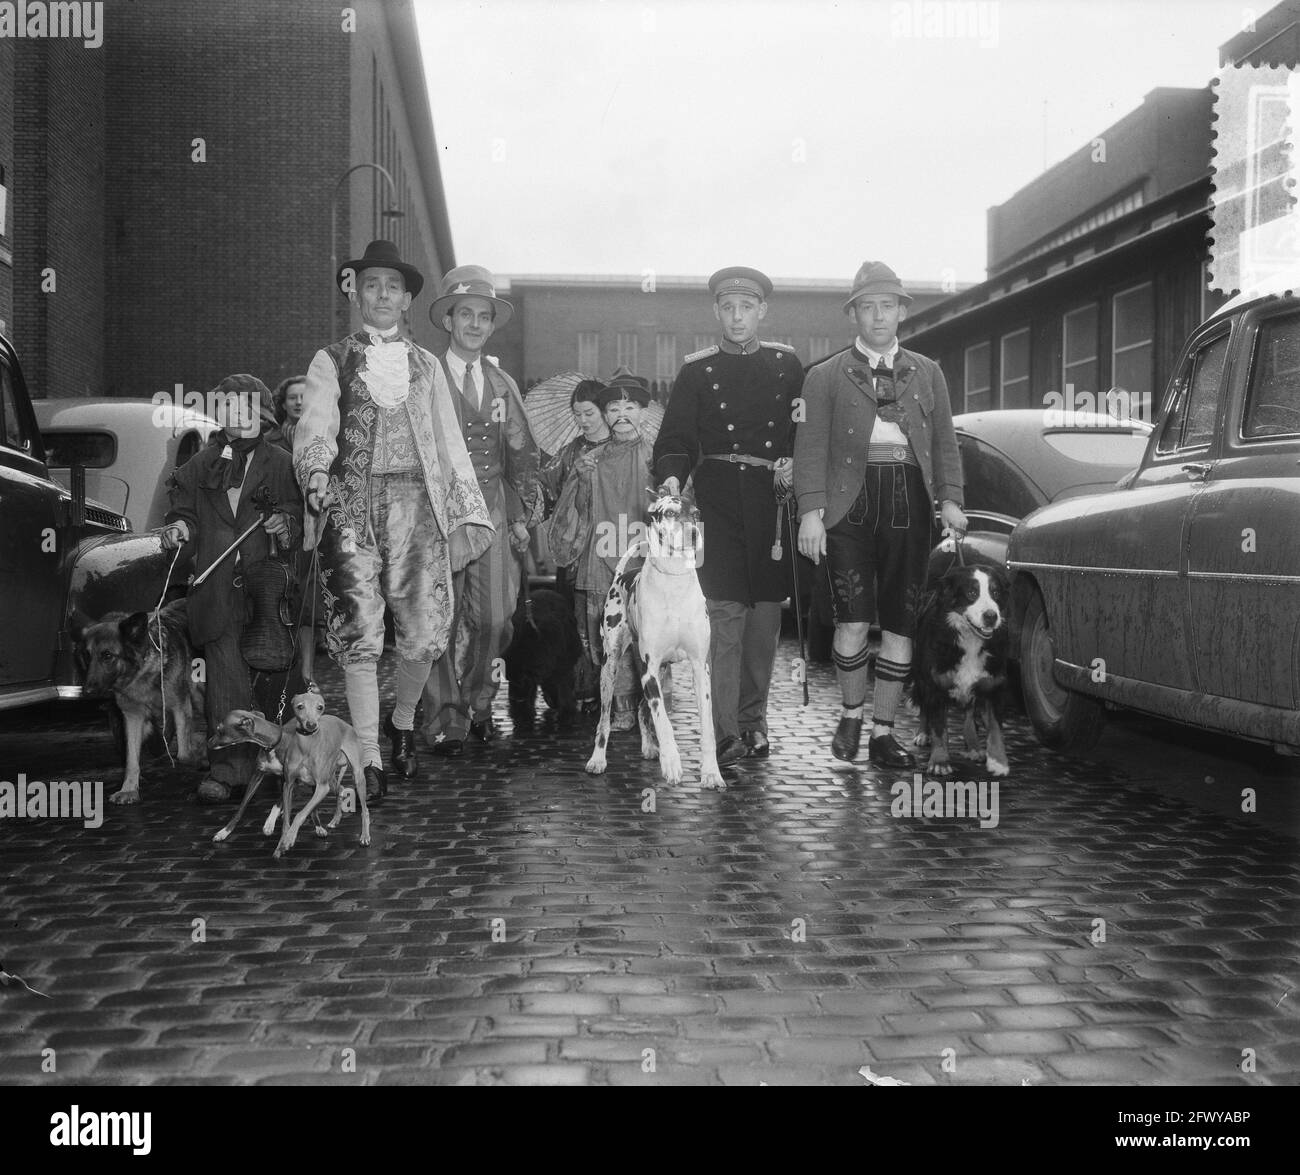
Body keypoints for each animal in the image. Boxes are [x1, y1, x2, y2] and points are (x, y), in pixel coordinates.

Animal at [73, 600, 204, 800]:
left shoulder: (181, 706)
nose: (86, 692)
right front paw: (128, 789)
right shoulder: (132, 717)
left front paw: (196, 758)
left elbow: (184, 753)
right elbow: (131, 759)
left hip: (198, 695)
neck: (142, 673)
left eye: (107, 655)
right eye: (87, 656)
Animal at [501, 587, 579, 722]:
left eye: (521, 680)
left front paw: (566, 713)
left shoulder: (562, 666)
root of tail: (545, 589)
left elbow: (564, 688)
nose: (515, 699)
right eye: (508, 678)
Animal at [909, 561, 1008, 779]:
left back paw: (973, 746)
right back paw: (922, 733)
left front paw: (998, 761)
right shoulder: (936, 686)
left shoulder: (992, 686)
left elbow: (995, 726)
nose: (991, 616)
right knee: (925, 709)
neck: (970, 640)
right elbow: (939, 727)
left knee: (969, 715)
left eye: (996, 593)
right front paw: (939, 760)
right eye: (972, 592)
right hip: (921, 678)